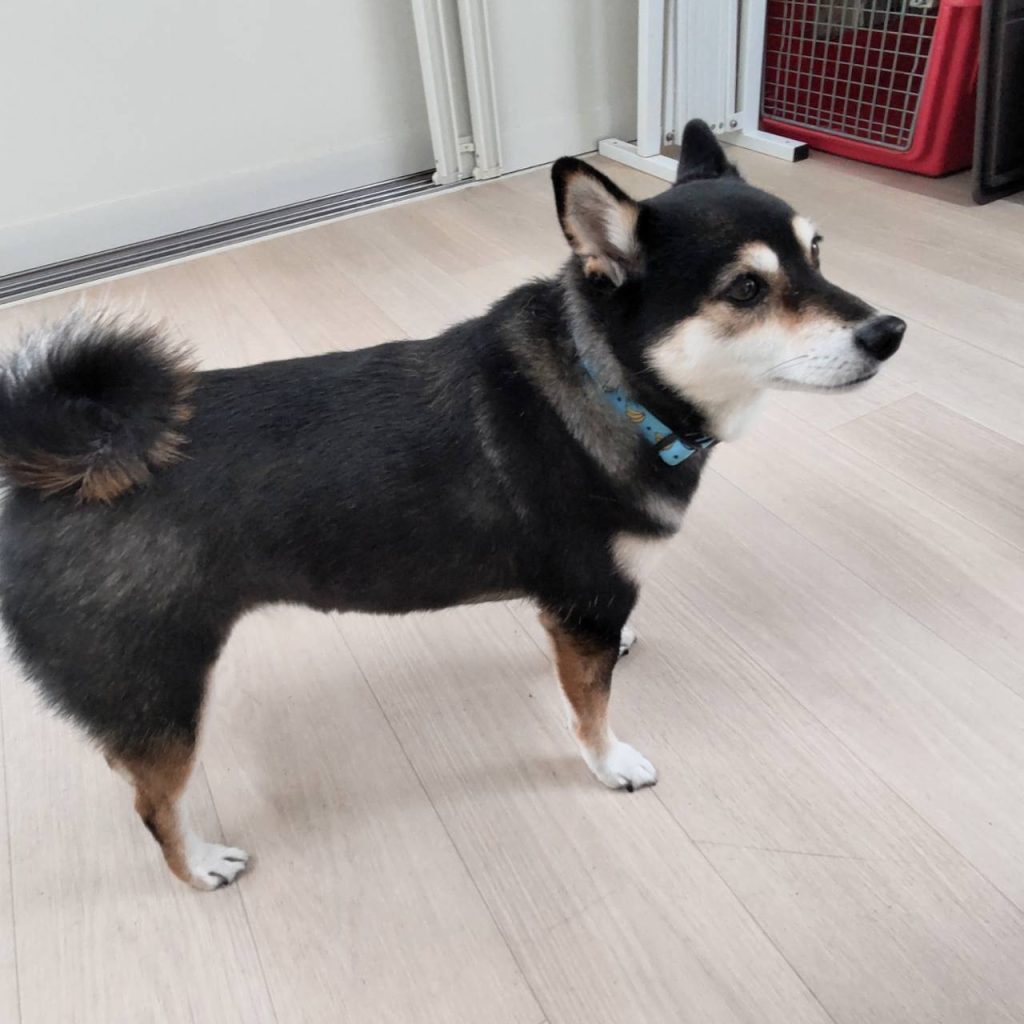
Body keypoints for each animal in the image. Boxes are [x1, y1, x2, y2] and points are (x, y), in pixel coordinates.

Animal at [0, 121, 904, 890]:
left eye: (817, 253)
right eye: (747, 288)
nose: (890, 331)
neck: (614, 389)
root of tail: (46, 471)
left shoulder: (579, 610)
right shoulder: (586, 601)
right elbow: (592, 710)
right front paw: (611, 764)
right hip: (161, 687)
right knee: (153, 802)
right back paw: (200, 866)